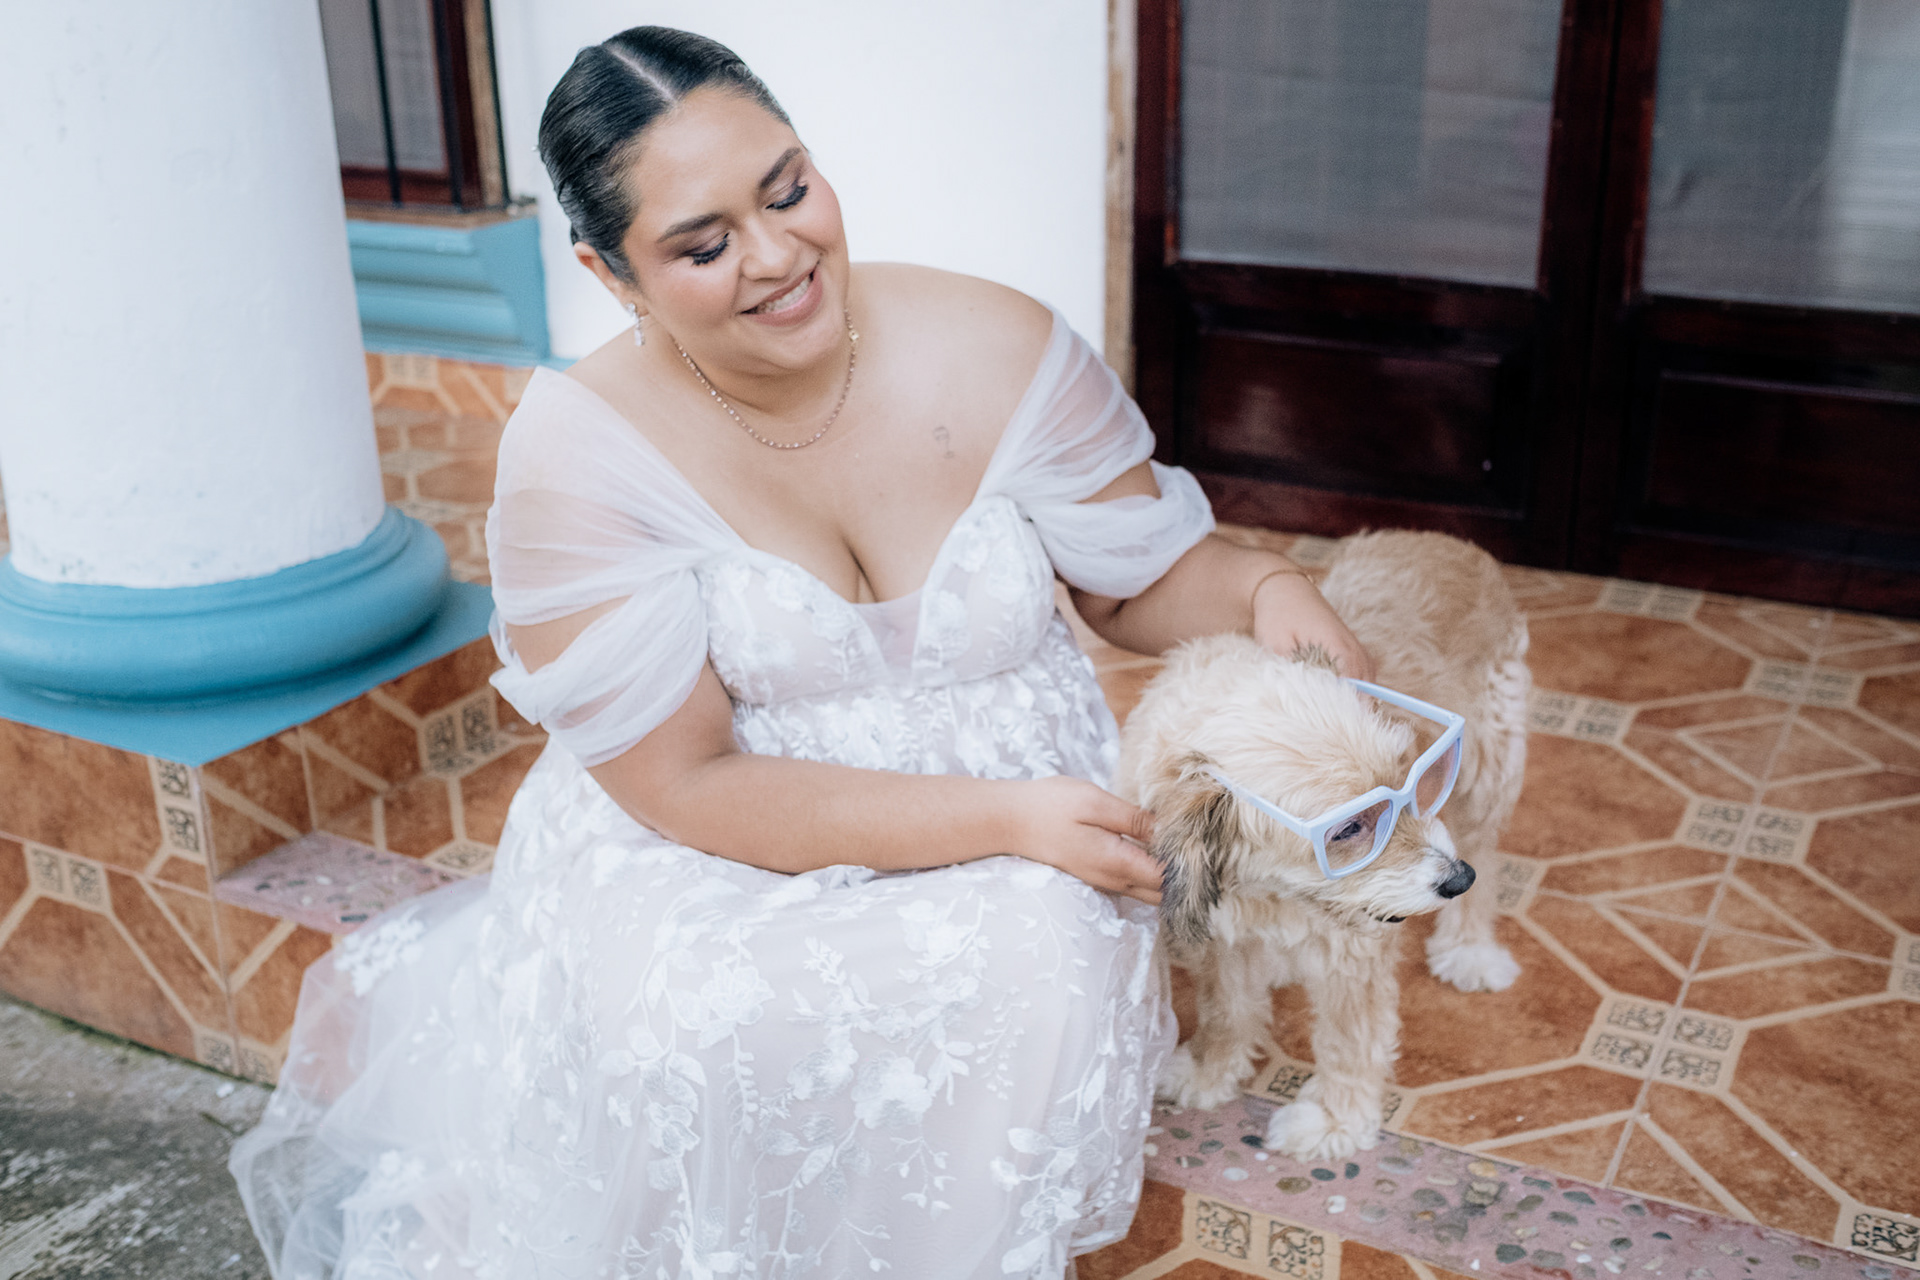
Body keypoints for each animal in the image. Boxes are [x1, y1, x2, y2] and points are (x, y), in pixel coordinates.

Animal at [1114, 530, 1529, 1159]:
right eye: (1351, 828)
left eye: (1412, 780)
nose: (1455, 879)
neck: (1273, 894)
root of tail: (1446, 539)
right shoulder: (1222, 936)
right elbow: (1226, 1007)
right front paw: (1211, 1070)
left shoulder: (1351, 955)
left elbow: (1349, 1039)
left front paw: (1335, 1120)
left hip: (1487, 773)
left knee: (1483, 849)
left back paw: (1470, 950)